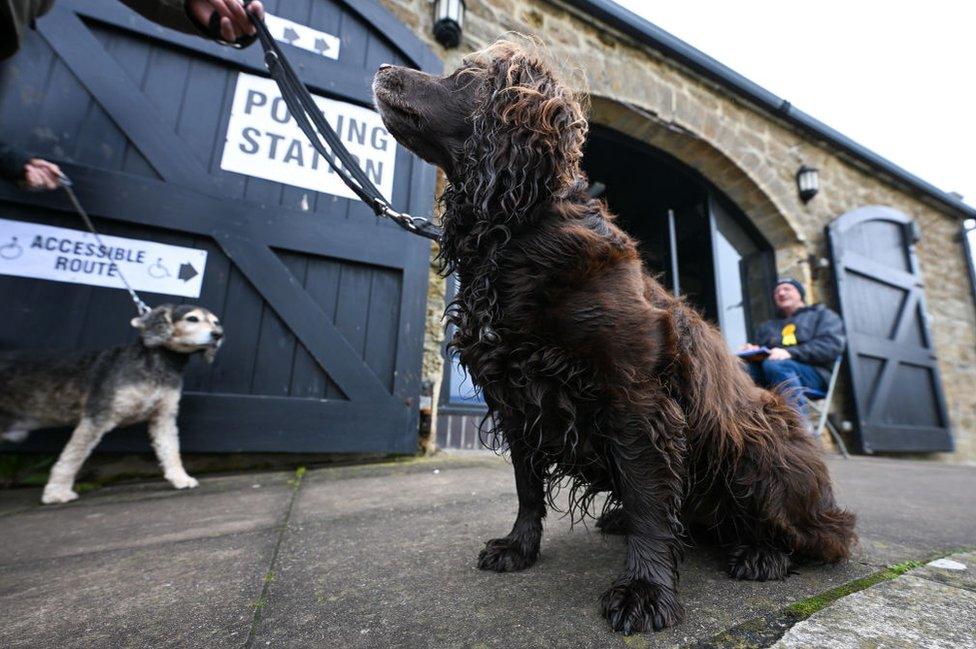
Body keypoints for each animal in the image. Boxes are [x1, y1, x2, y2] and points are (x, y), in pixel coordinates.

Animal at [0, 302, 223, 502]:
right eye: (192, 319)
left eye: (216, 322)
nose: (218, 335)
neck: (158, 363)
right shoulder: (97, 416)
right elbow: (72, 457)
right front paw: (57, 493)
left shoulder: (163, 417)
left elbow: (170, 450)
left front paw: (180, 478)